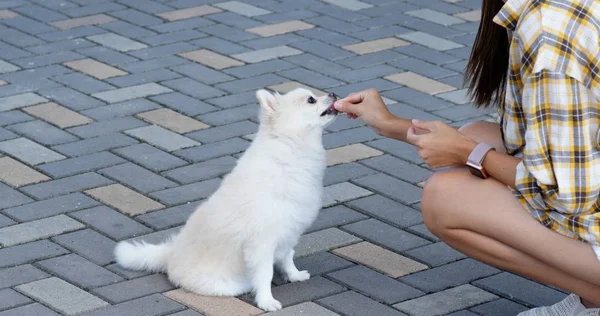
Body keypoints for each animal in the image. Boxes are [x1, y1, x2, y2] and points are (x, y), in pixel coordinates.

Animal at [112, 87, 338, 312]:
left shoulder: (289, 230)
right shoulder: (262, 242)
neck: (290, 146)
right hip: (225, 284)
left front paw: (294, 275)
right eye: (311, 100)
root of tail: (170, 254)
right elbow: (265, 274)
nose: (334, 94)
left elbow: (287, 257)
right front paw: (266, 301)